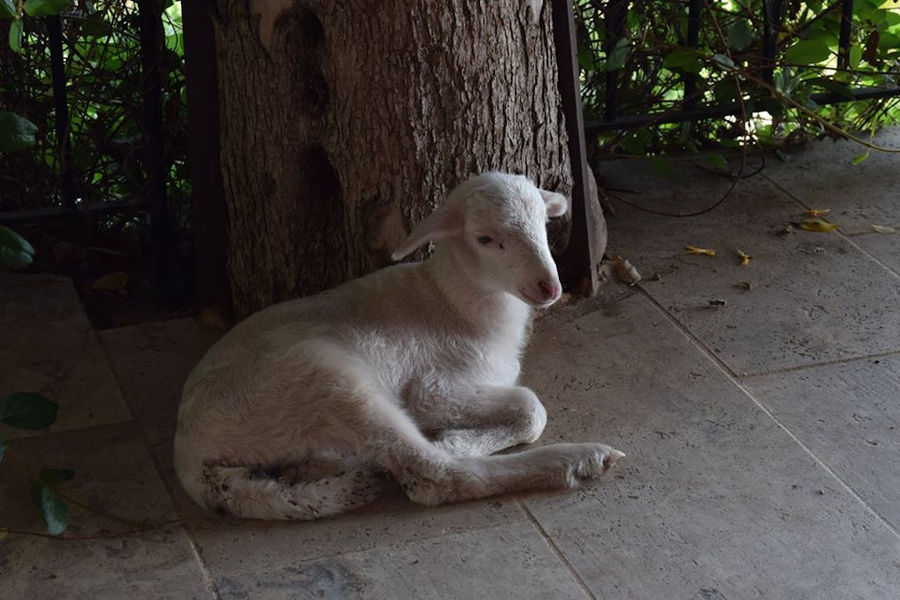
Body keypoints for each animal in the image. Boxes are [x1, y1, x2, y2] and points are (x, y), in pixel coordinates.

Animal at [172, 171, 624, 516]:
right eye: (484, 238)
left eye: (544, 225)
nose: (550, 287)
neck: (453, 304)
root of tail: (191, 457)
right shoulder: (432, 387)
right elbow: (532, 407)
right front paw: (456, 440)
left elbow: (528, 411)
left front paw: (461, 437)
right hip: (330, 382)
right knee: (437, 478)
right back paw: (578, 461)